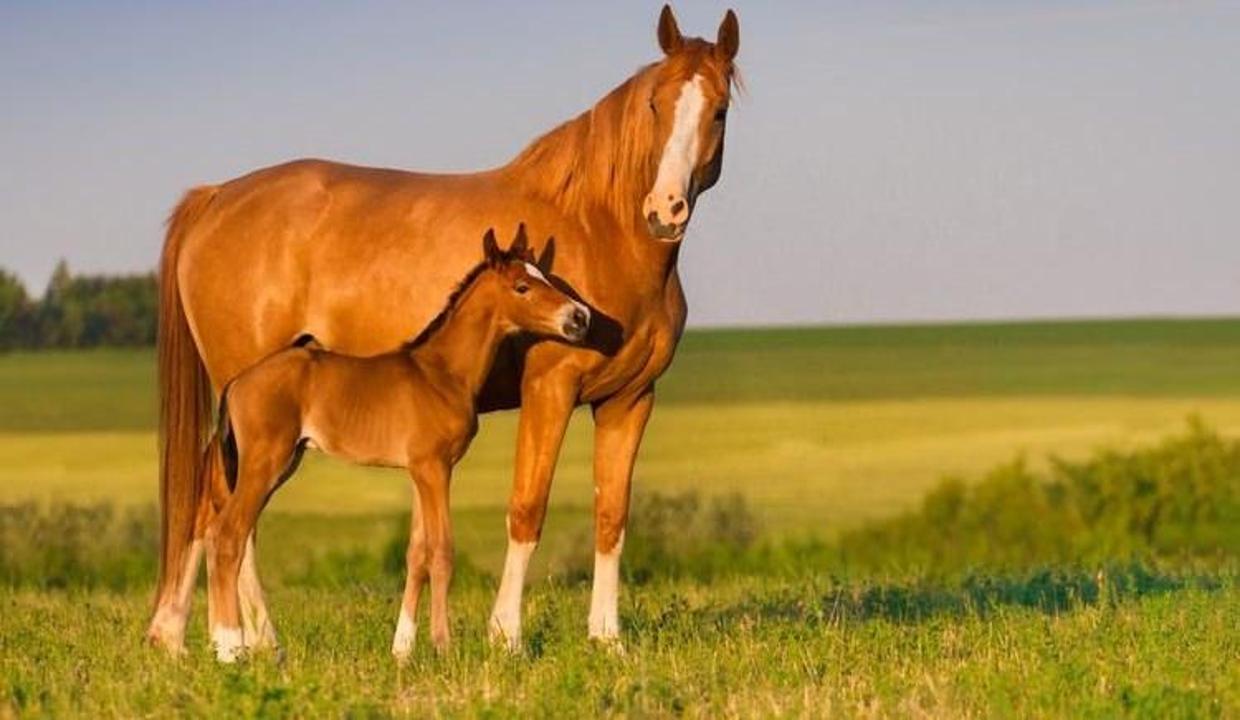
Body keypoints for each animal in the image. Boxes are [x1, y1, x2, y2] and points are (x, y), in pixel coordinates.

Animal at [204, 228, 590, 659]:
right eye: (522, 286)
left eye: (545, 276)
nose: (580, 318)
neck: (442, 373)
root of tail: (237, 382)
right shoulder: (434, 468)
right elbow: (441, 551)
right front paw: (443, 646)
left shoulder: (421, 472)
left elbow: (418, 552)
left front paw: (404, 651)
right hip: (264, 463)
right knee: (227, 536)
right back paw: (229, 649)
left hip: (282, 464)